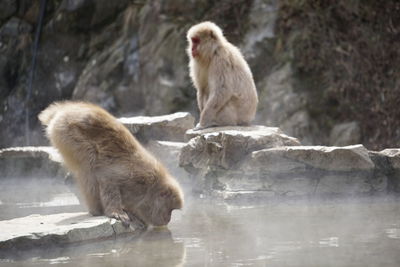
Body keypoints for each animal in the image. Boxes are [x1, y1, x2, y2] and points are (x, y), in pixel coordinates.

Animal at [38, 101, 184, 227]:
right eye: (170, 209)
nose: (168, 219)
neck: (149, 187)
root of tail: (64, 109)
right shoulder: (133, 175)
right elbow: (108, 181)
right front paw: (116, 212)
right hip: (67, 132)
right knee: (89, 165)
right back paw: (96, 210)